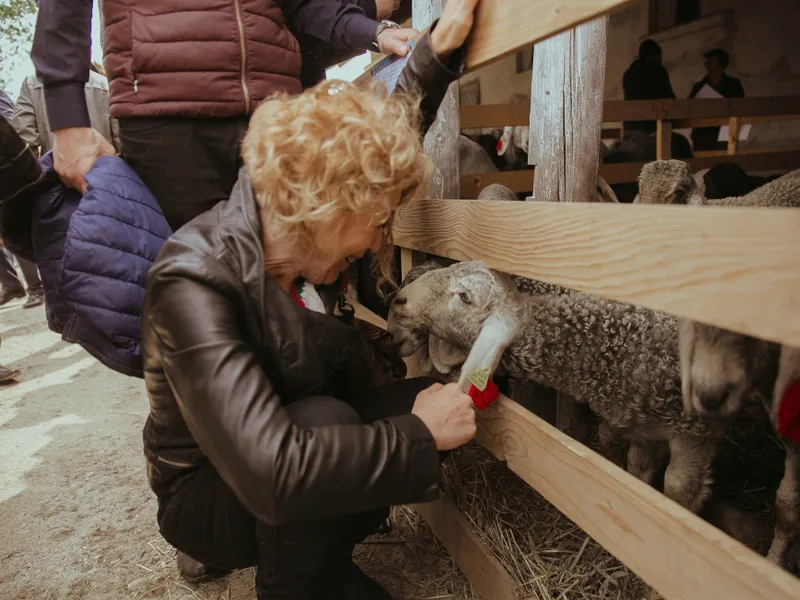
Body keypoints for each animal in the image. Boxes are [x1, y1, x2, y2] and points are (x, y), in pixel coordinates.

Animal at [388, 260, 732, 512]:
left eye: (464, 296)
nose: (400, 300)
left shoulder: (694, 432)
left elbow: (677, 490)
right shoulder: (641, 428)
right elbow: (638, 469)